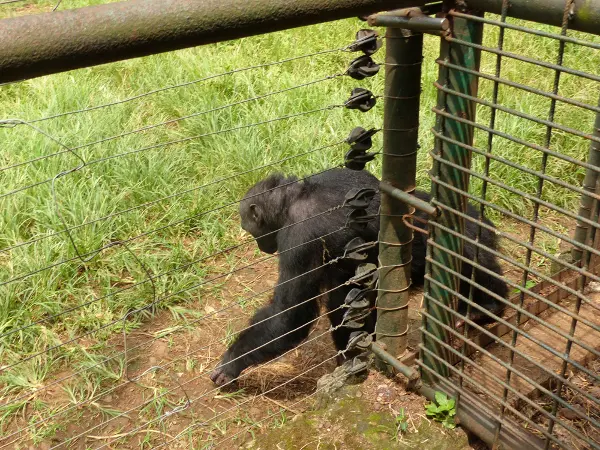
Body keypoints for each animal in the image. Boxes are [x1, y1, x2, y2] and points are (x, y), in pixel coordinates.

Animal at [209, 169, 508, 386]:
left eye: (251, 230)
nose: (261, 246)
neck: (294, 198)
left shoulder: (298, 237)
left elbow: (290, 312)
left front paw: (231, 362)